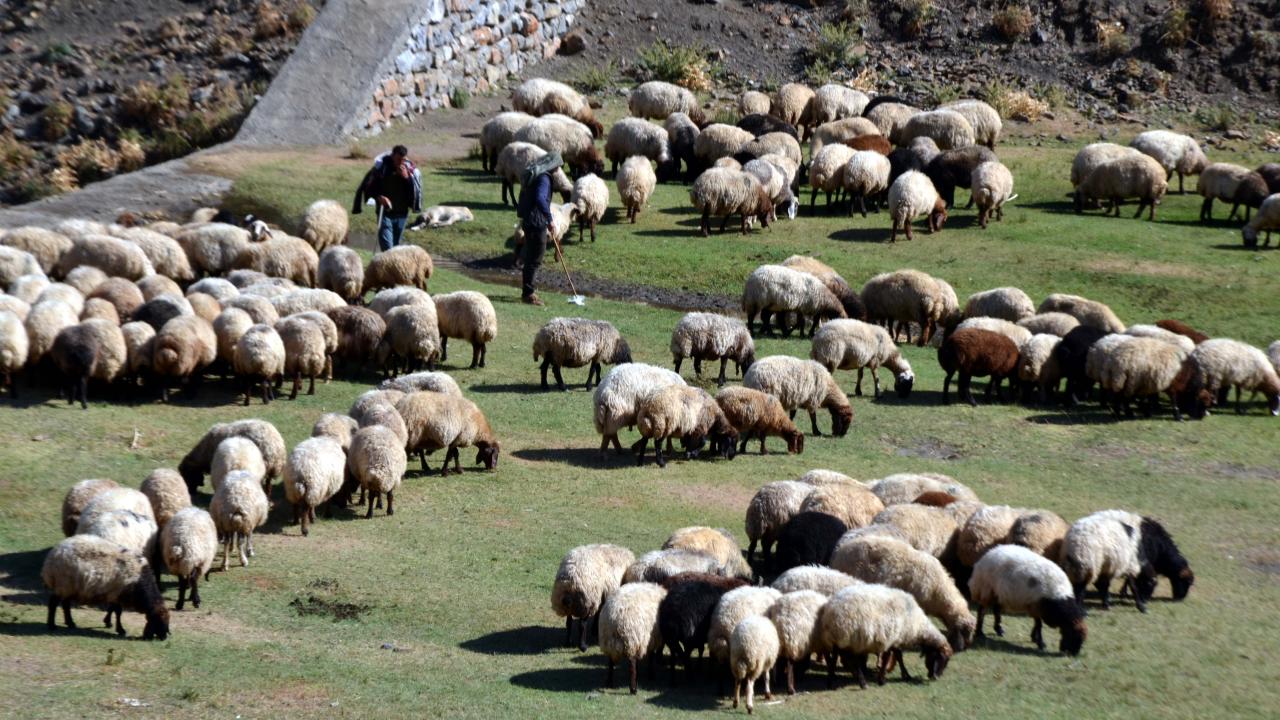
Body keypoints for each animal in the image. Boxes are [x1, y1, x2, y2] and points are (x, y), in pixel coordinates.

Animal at [40, 532, 170, 638]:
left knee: (66, 604)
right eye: (161, 621)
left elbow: (112, 609)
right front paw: (120, 629)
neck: (140, 581)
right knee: (53, 603)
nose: (164, 638)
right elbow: (118, 612)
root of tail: (53, 554)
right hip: (63, 584)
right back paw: (52, 625)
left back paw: (70, 623)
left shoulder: (113, 593)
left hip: (70, 587)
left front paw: (108, 622)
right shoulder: (117, 593)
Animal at [814, 579, 947, 686]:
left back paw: (832, 680)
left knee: (837, 656)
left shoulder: (895, 639)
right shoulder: (891, 639)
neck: (918, 626)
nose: (936, 677)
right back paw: (862, 682)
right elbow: (889, 658)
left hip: (840, 638)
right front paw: (882, 680)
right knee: (850, 659)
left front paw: (906, 675)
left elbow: (898, 657)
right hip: (850, 637)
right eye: (943, 659)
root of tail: (829, 611)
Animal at [1059, 504, 1187, 609]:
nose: (1180, 599)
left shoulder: (1112, 565)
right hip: (1089, 564)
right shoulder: (1130, 563)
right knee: (1081, 585)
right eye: (1184, 582)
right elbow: (1131, 583)